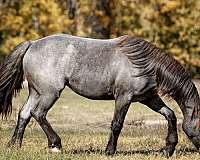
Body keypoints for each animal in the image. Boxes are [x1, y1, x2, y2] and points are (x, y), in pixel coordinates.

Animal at [0, 34, 199, 156]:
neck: (145, 64)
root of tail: (32, 44)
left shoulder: (148, 99)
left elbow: (170, 115)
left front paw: (168, 149)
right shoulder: (124, 97)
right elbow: (117, 124)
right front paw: (109, 151)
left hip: (36, 92)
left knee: (24, 114)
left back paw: (14, 145)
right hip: (50, 93)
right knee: (38, 114)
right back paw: (55, 144)